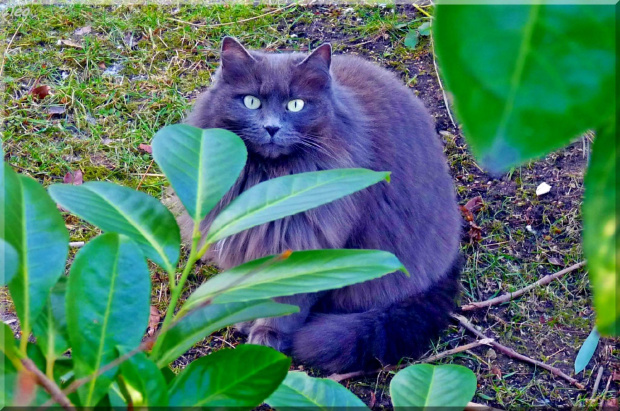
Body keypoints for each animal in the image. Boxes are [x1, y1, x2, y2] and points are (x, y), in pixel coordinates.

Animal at [174, 37, 460, 374]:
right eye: (251, 102)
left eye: (295, 105)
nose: (272, 128)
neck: (269, 179)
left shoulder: (309, 244)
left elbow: (288, 305)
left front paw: (266, 338)